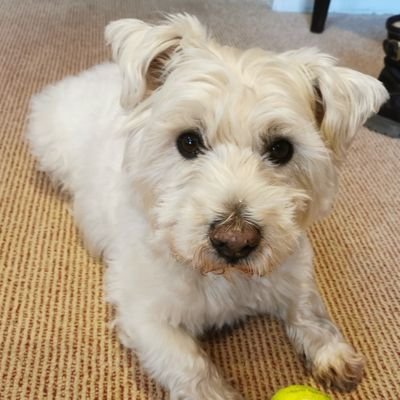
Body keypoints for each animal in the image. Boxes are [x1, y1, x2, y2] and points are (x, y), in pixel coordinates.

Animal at [25, 13, 388, 400]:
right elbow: (191, 369)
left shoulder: (293, 267)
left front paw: (333, 354)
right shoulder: (146, 314)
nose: (235, 241)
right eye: (188, 141)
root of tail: (91, 72)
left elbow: (309, 310)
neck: (224, 276)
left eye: (281, 149)